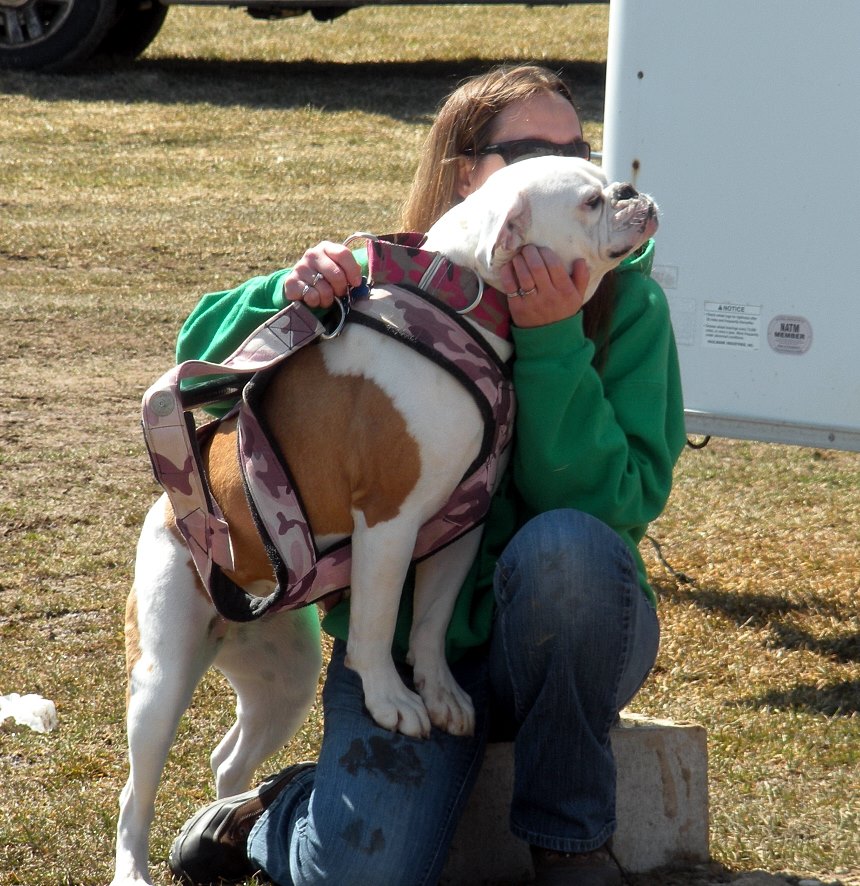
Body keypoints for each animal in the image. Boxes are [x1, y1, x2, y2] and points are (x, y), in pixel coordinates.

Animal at [111, 160, 656, 886]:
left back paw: (229, 822)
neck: (461, 302)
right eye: (591, 201)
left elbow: (429, 620)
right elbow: (375, 623)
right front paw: (392, 699)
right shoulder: (390, 522)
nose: (634, 194)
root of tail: (169, 515)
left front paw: (441, 690)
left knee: (229, 759)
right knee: (133, 794)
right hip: (161, 679)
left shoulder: (460, 524)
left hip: (282, 683)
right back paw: (134, 867)